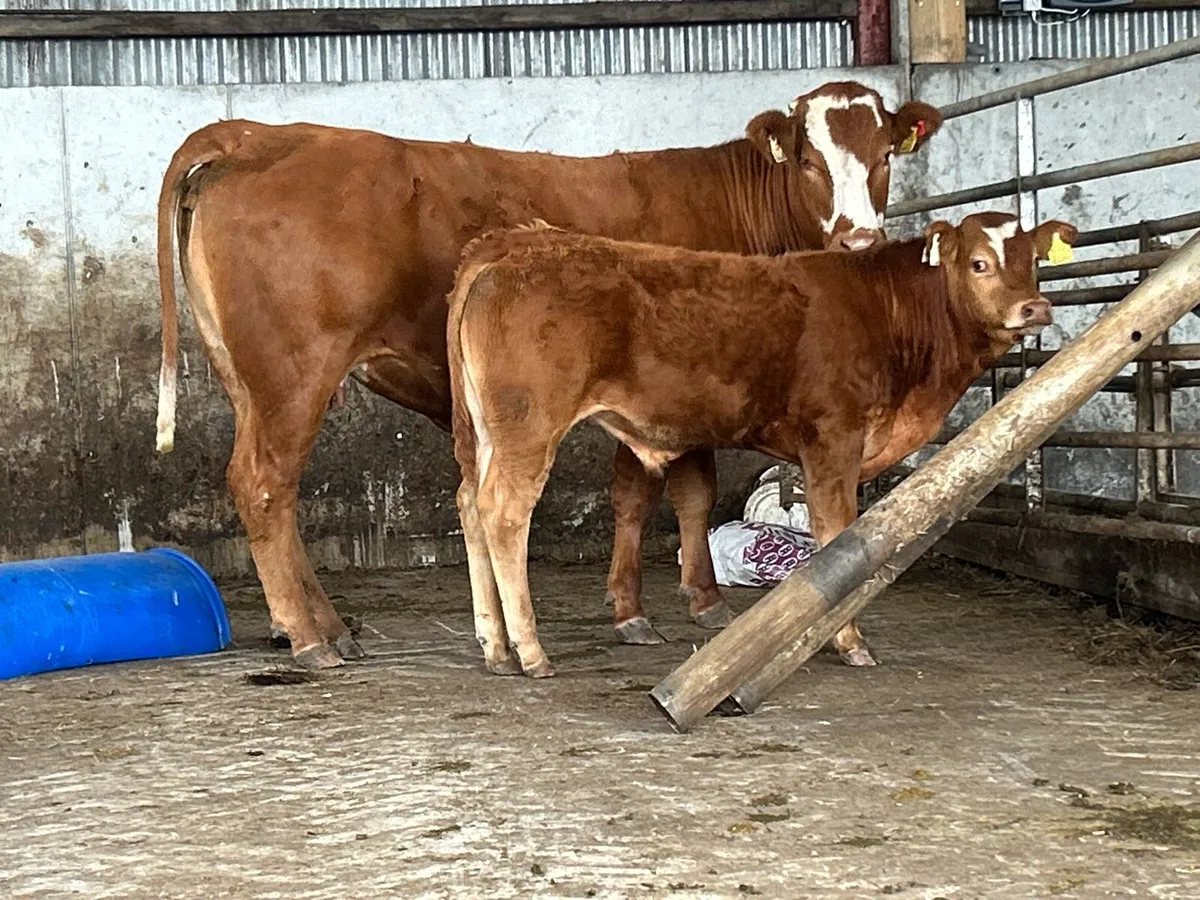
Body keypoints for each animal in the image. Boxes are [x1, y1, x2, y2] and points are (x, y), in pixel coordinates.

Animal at [154, 82, 941, 669]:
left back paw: (329, 627)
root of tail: (258, 134)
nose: (859, 240)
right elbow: (669, 489)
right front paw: (678, 604)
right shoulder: (672, 392)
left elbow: (662, 493)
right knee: (264, 487)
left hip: (246, 380)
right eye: (809, 160)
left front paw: (658, 603)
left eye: (883, 155)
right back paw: (309, 636)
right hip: (293, 376)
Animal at [447, 212, 1077, 677]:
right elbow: (836, 537)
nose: (1034, 308)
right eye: (979, 263)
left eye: (1034, 261)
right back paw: (530, 650)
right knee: (504, 513)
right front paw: (847, 639)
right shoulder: (833, 442)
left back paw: (496, 647)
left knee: (470, 506)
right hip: (528, 427)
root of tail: (514, 244)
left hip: (481, 435)